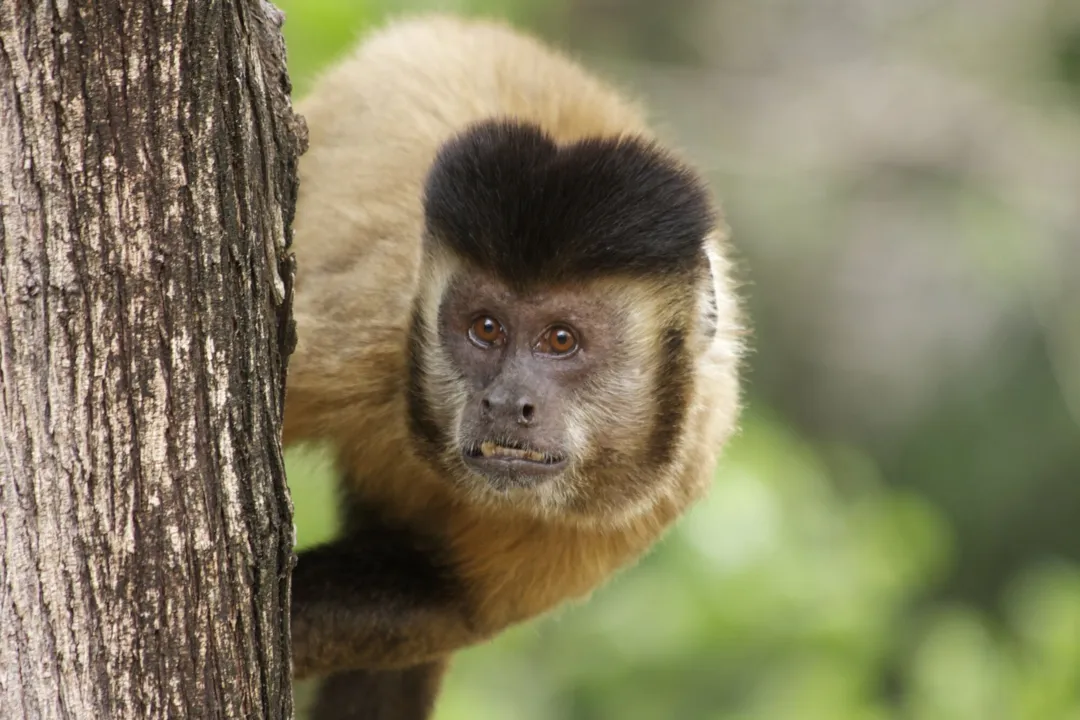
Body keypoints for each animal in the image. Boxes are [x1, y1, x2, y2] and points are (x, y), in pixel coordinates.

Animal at [285, 12, 743, 720]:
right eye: (486, 329)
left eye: (561, 340)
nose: (505, 403)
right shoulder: (366, 335)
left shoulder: (664, 483)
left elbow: (438, 598)